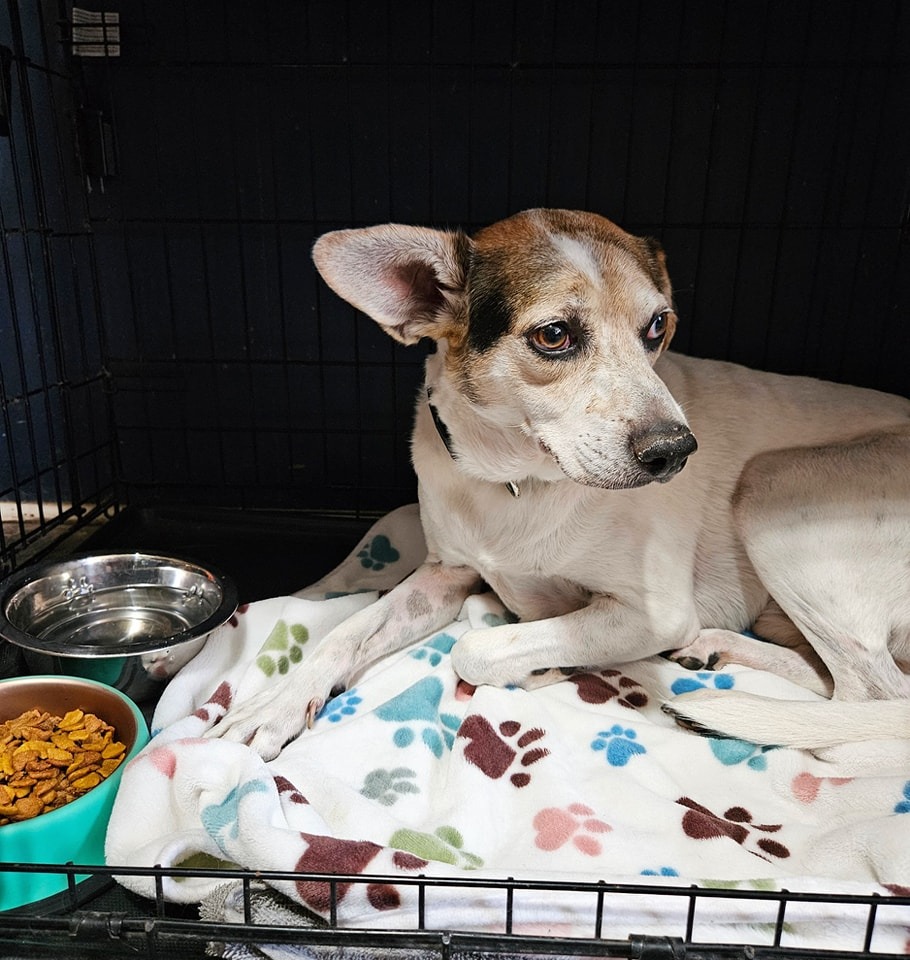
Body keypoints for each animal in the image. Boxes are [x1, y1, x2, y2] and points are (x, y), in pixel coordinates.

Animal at [210, 208, 910, 764]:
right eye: (554, 335)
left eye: (657, 327)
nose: (676, 452)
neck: (514, 482)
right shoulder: (445, 573)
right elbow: (345, 632)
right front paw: (272, 706)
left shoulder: (655, 611)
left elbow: (478, 648)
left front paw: (545, 659)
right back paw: (717, 651)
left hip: (774, 487)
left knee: (871, 699)